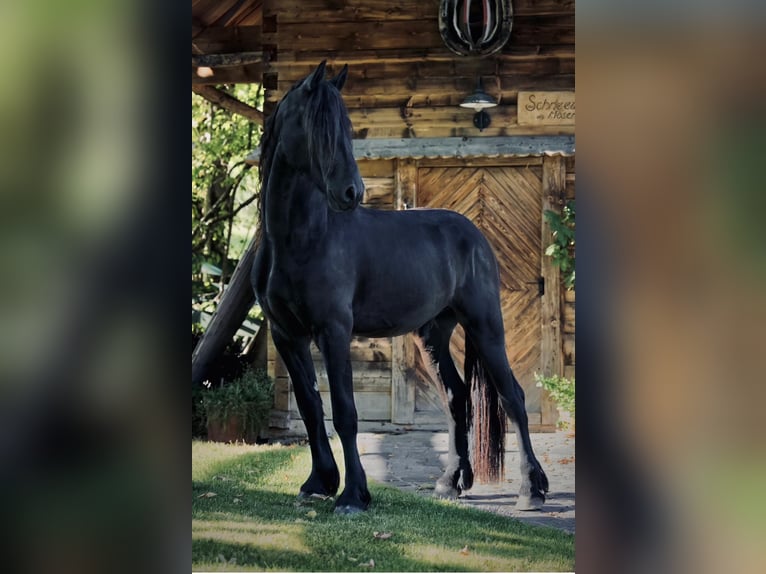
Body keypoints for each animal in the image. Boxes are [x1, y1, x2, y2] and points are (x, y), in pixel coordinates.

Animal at [251, 60, 548, 514]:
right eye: (318, 125)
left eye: (348, 126)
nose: (353, 192)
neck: (300, 240)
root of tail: (474, 235)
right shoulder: (288, 335)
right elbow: (309, 406)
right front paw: (319, 482)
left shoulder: (333, 332)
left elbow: (345, 412)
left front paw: (352, 495)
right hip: (434, 333)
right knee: (457, 399)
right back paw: (450, 482)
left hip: (485, 326)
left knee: (512, 396)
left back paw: (531, 489)